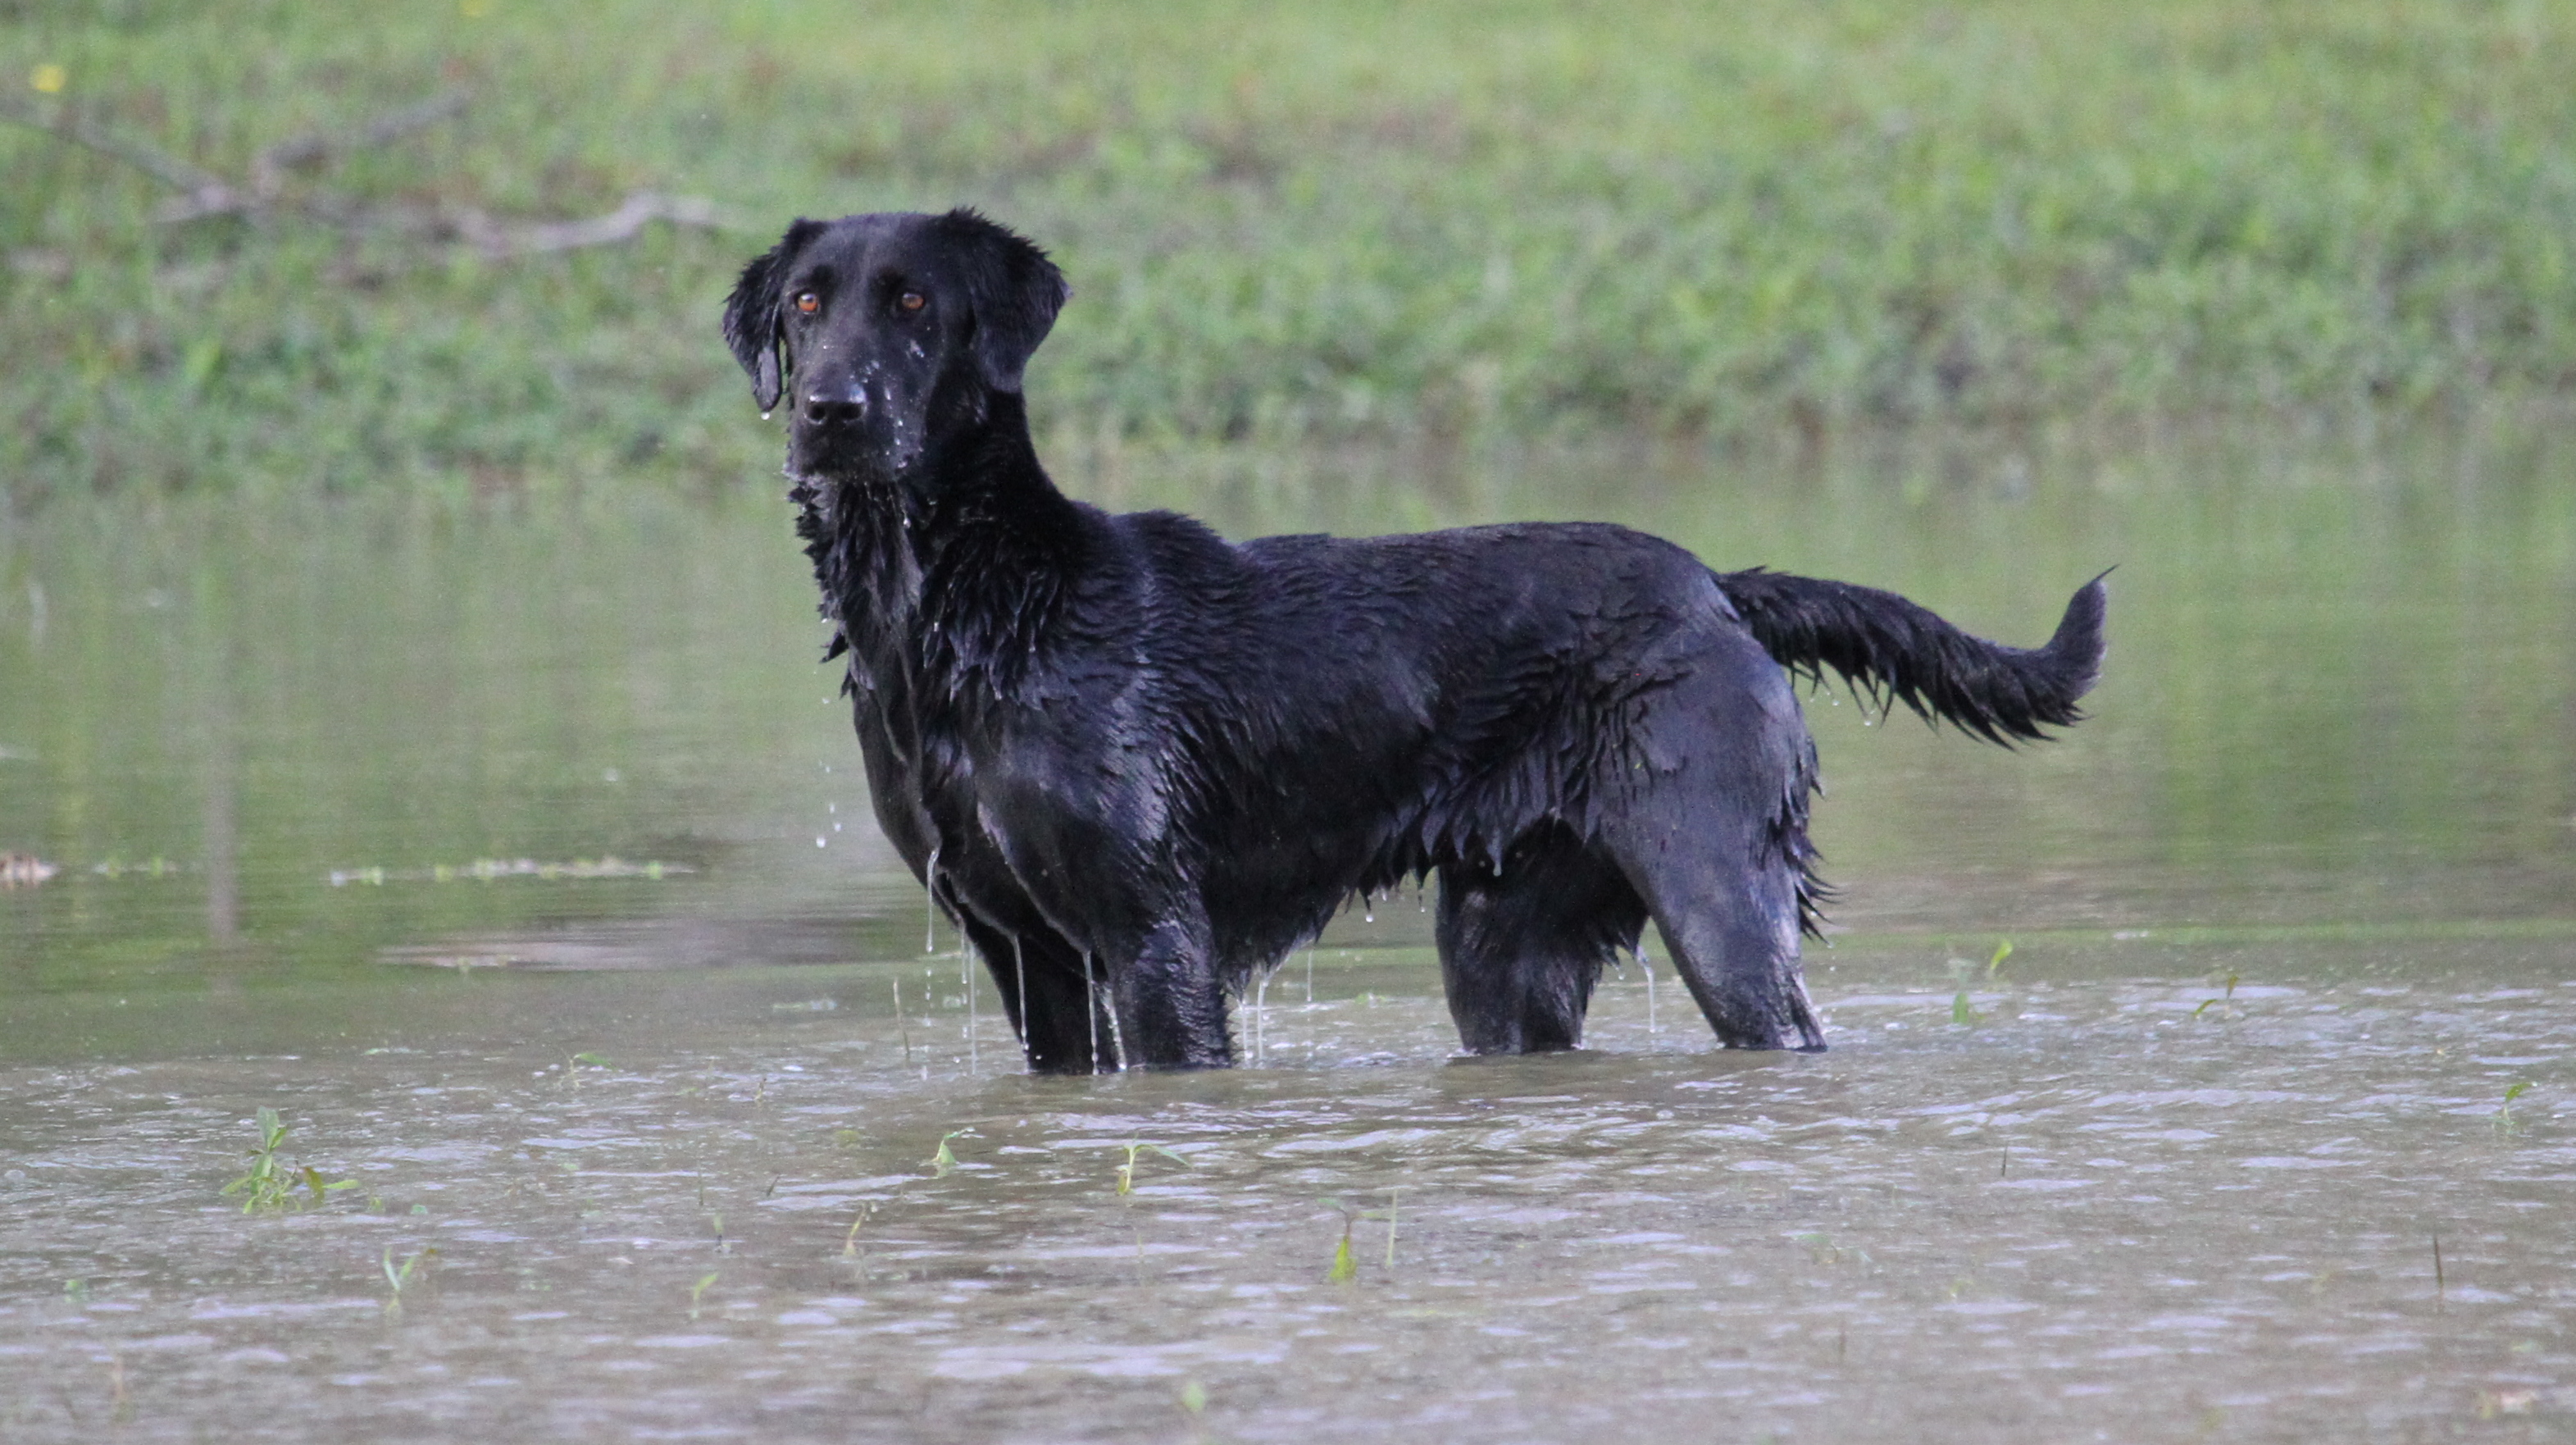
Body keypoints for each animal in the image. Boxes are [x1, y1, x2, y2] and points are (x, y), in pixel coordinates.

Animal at [716, 211, 2101, 1071]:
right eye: (805, 305)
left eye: (914, 303)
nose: (829, 411)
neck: (957, 614)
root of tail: (1716, 584)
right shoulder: (1023, 954)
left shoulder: (1152, 935)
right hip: (1506, 946)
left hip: (1715, 885)